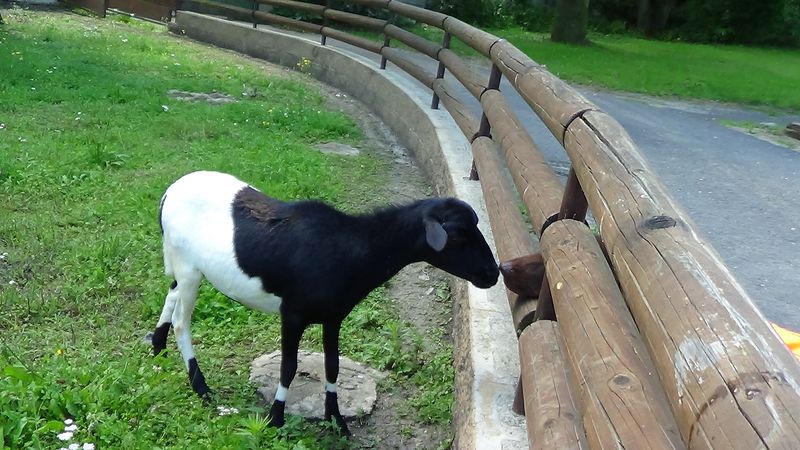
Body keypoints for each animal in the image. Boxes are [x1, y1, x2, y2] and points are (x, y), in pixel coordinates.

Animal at [151, 171, 500, 434]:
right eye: (457, 235)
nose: (493, 273)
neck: (351, 248)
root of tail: (169, 193)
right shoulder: (292, 314)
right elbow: (289, 367)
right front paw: (276, 418)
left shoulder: (334, 316)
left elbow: (333, 366)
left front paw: (337, 420)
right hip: (188, 266)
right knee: (182, 321)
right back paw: (201, 388)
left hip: (182, 265)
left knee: (170, 292)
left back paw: (158, 350)